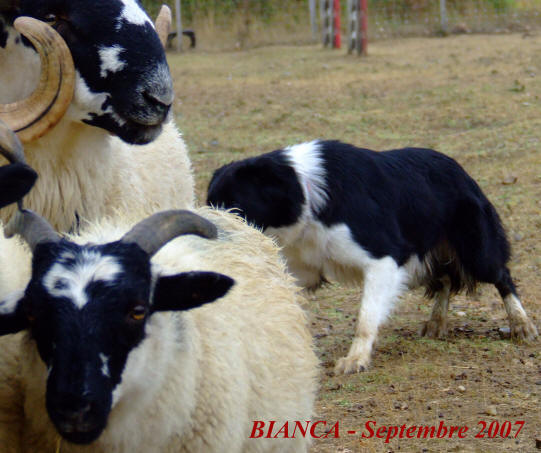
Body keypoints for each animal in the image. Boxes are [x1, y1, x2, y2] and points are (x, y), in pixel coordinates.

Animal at [206, 141, 536, 374]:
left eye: (234, 207)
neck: (304, 192)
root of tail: (460, 169)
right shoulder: (302, 266)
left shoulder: (383, 259)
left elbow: (366, 317)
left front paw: (355, 360)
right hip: (420, 259)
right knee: (443, 278)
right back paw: (436, 323)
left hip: (473, 249)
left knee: (501, 275)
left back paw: (521, 325)